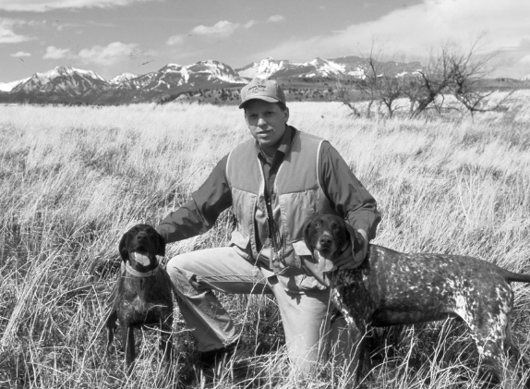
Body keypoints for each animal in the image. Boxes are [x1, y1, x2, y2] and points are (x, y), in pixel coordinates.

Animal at [105, 223, 173, 372]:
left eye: (151, 232)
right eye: (132, 232)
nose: (142, 237)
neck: (142, 278)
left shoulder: (165, 325)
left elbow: (166, 358)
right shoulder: (127, 326)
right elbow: (129, 359)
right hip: (110, 320)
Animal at [302, 214, 528, 386]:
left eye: (337, 228)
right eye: (316, 225)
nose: (325, 241)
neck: (350, 266)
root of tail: (499, 272)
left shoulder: (356, 327)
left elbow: (351, 371)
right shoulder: (363, 329)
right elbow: (363, 370)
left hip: (487, 340)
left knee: (512, 379)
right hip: (503, 338)